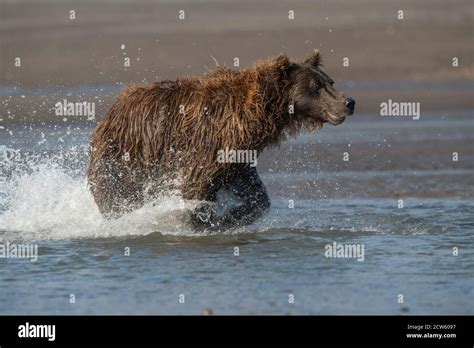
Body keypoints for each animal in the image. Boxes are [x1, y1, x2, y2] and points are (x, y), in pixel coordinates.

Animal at [87, 49, 356, 228]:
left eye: (329, 81)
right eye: (315, 87)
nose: (349, 102)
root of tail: (111, 111)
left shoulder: (238, 156)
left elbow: (255, 194)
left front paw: (231, 218)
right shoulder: (208, 144)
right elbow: (195, 187)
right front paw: (201, 222)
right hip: (126, 156)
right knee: (117, 195)